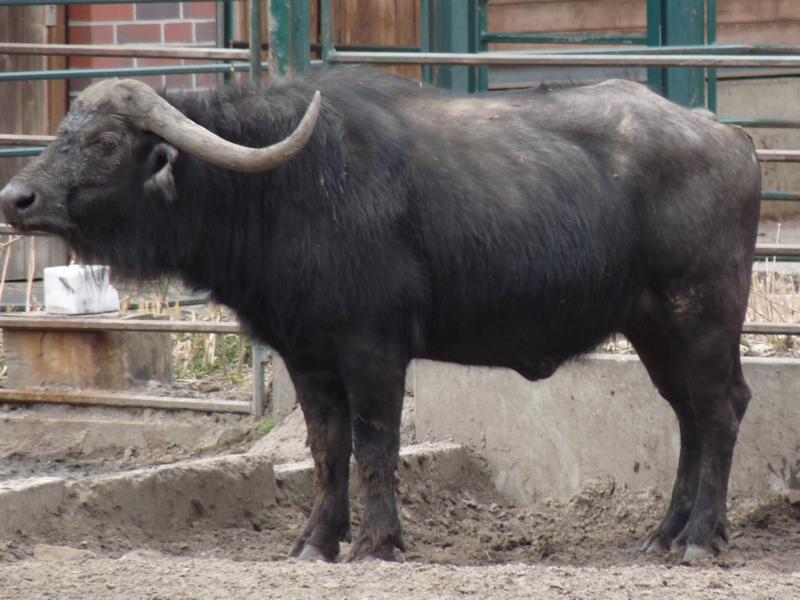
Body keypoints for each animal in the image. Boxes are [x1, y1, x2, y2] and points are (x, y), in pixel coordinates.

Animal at [0, 67, 761, 562]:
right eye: (63, 129)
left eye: (104, 141)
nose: (17, 198)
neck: (285, 188)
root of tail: (728, 138)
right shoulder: (305, 355)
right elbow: (327, 447)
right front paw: (315, 541)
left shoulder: (374, 349)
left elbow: (374, 445)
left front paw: (376, 541)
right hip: (653, 329)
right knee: (689, 417)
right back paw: (664, 534)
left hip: (702, 317)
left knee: (721, 410)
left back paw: (698, 540)